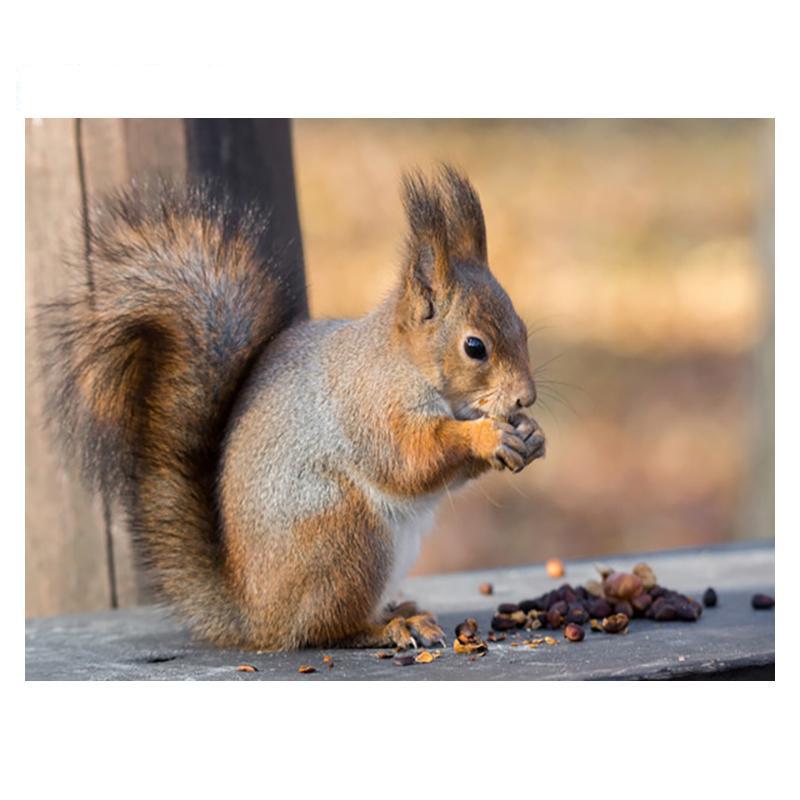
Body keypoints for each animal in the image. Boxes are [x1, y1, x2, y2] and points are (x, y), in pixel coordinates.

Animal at [43, 164, 545, 651]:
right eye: (474, 346)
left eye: (522, 328)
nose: (526, 397)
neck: (407, 363)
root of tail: (255, 616)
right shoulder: (370, 406)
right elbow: (410, 459)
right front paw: (486, 436)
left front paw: (532, 435)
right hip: (345, 534)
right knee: (325, 627)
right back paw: (389, 627)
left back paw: (399, 609)